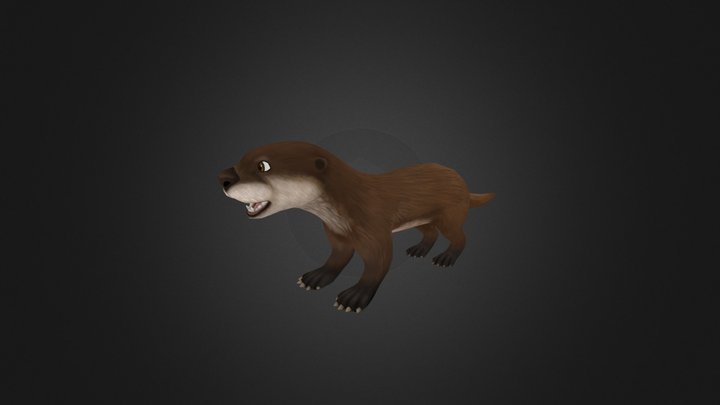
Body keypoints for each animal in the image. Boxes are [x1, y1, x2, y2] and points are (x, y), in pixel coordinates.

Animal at [218, 141, 494, 313]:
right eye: (240, 160)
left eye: (263, 165)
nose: (223, 177)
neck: (347, 204)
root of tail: (462, 182)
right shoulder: (335, 233)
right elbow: (337, 258)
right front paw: (316, 277)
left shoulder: (374, 229)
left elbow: (378, 262)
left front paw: (354, 297)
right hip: (423, 220)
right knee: (429, 232)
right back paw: (419, 250)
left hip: (450, 215)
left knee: (459, 237)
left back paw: (446, 258)